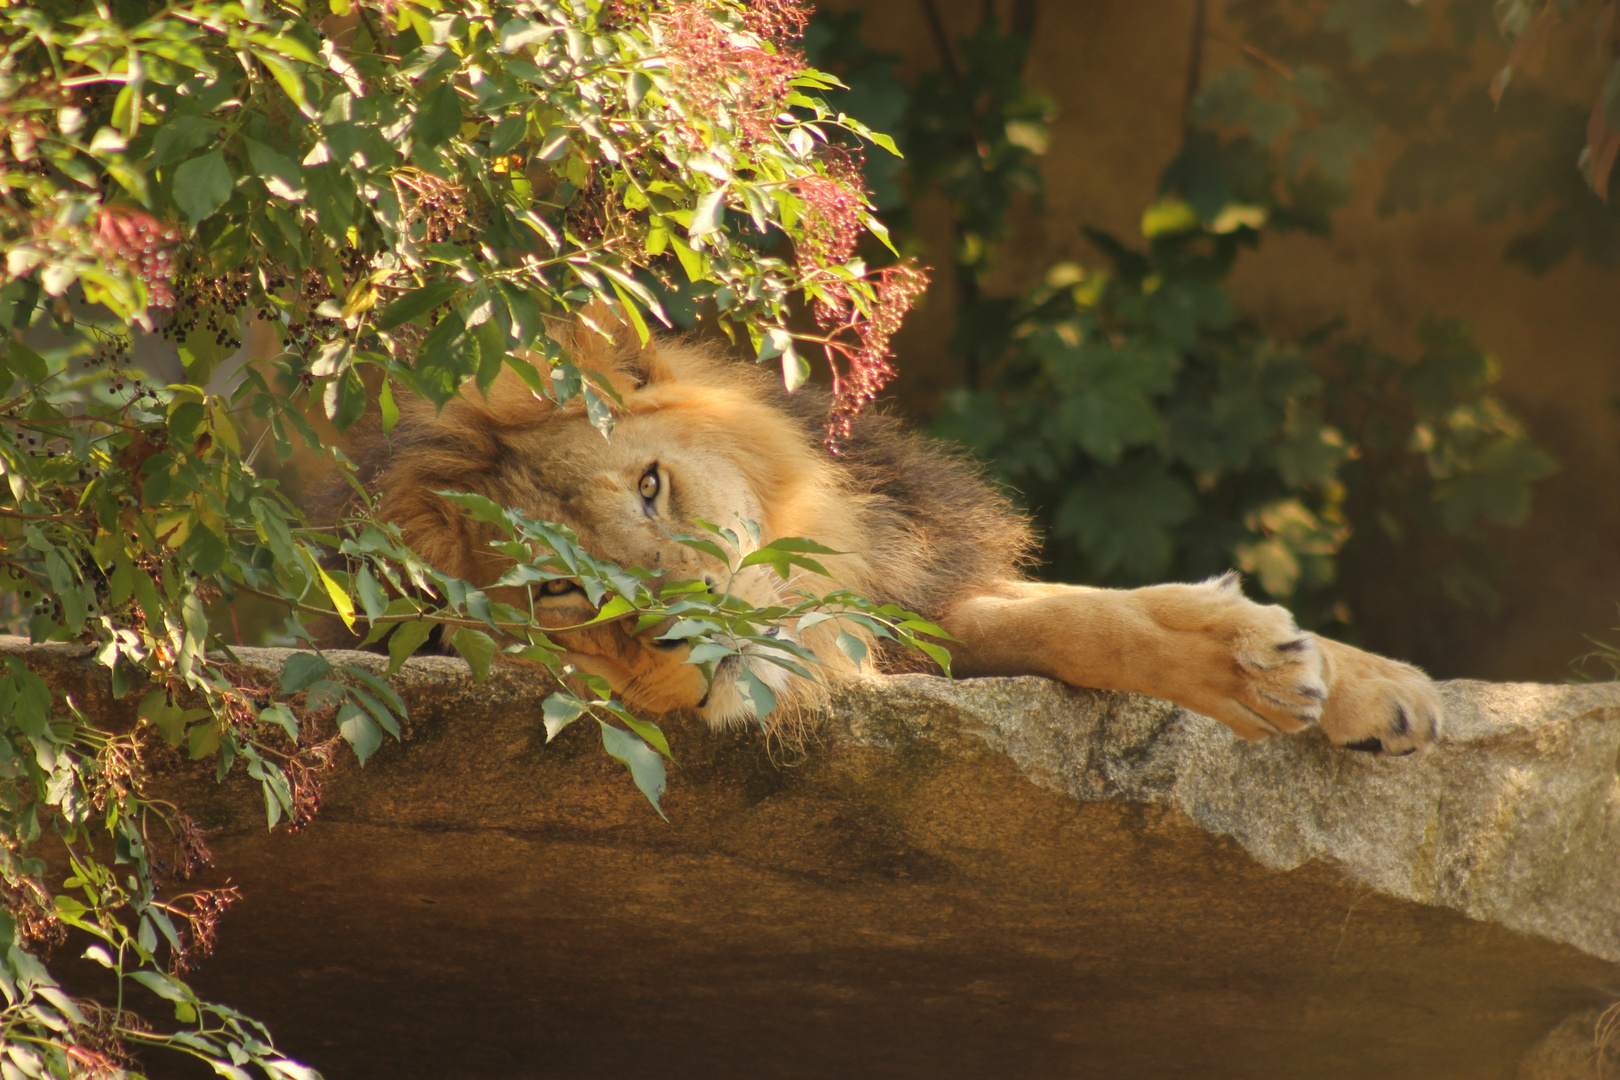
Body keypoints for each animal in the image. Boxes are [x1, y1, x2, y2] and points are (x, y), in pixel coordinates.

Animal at [345, 310, 1445, 751]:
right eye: (560, 592)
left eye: (652, 487)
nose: (688, 633)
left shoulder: (907, 590)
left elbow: (1086, 617)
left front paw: (1353, 681)